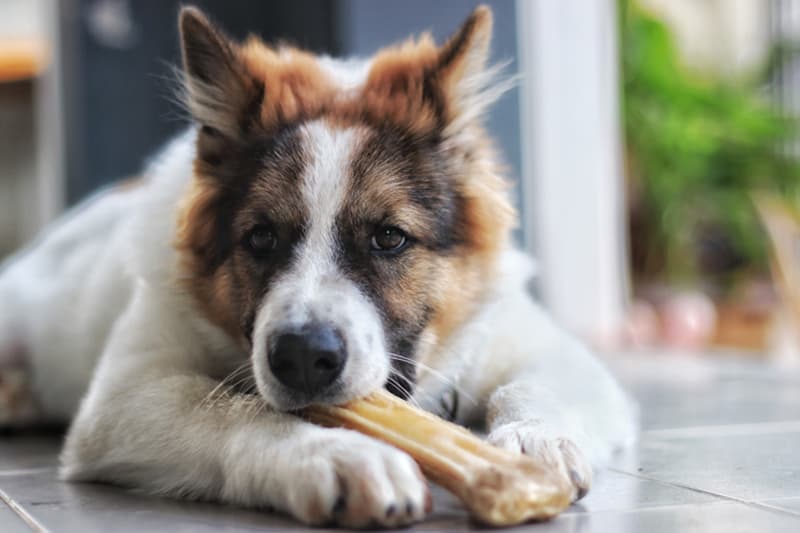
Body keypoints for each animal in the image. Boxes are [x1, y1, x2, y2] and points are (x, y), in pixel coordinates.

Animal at [0, 5, 636, 528]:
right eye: (260, 238)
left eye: (388, 238)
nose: (304, 358)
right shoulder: (125, 394)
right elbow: (236, 409)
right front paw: (336, 455)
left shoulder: (543, 348)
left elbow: (533, 384)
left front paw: (532, 444)